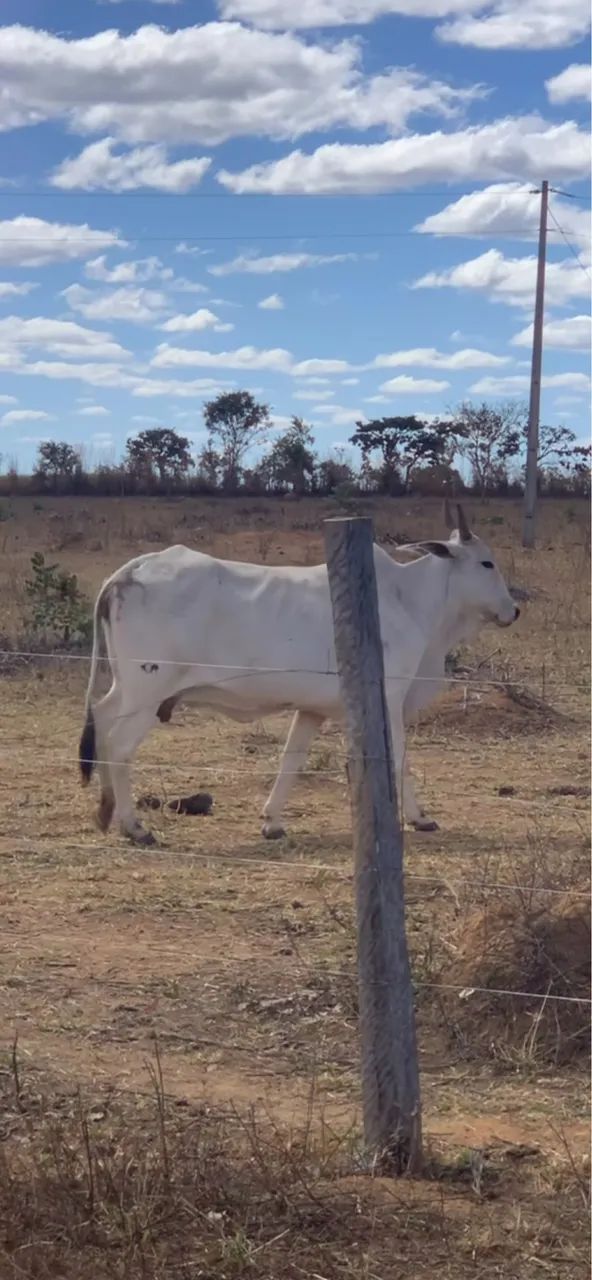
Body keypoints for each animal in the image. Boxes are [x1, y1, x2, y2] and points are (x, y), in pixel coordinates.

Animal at [79, 502, 519, 846]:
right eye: (486, 562)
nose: (513, 610)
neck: (407, 599)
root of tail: (127, 572)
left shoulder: (313, 710)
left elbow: (291, 759)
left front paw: (272, 821)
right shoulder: (388, 699)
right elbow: (400, 759)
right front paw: (420, 817)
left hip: (127, 689)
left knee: (100, 719)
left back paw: (105, 810)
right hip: (147, 692)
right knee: (119, 746)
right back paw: (134, 827)